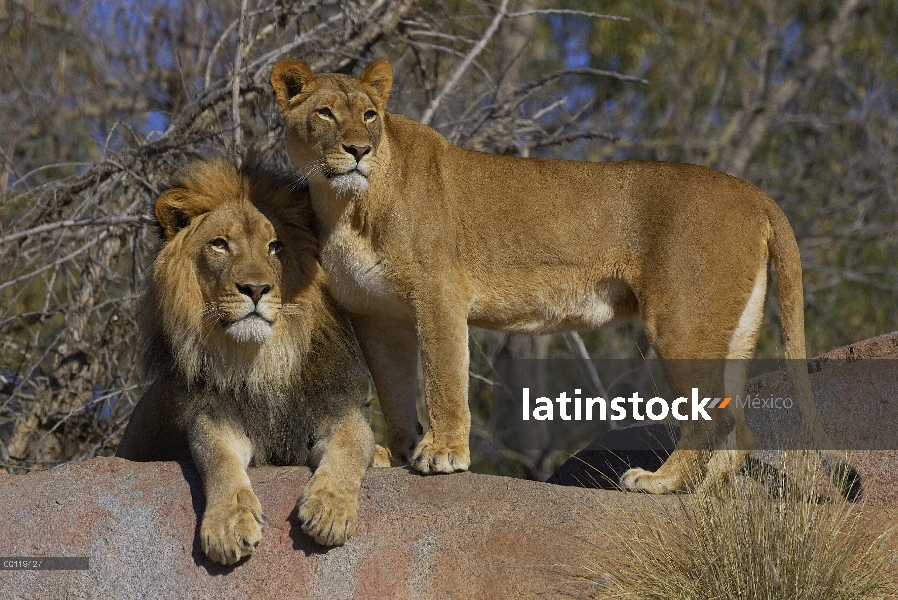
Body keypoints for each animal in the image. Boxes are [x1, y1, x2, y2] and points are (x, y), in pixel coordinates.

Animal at [114, 159, 374, 564]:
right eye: (220, 244)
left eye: (275, 246)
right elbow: (218, 461)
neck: (261, 361)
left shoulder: (335, 405)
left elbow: (355, 442)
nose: (255, 289)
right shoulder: (214, 416)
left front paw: (329, 510)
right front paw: (229, 525)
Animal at [270, 58, 856, 500]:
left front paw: (441, 454)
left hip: (682, 321)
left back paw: (658, 483)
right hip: (732, 328)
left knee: (711, 419)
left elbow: (443, 378)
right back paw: (700, 496)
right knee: (737, 427)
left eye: (371, 116)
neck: (347, 203)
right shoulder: (375, 314)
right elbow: (393, 389)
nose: (358, 150)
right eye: (325, 113)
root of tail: (753, 192)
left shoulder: (439, 294)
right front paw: (393, 452)